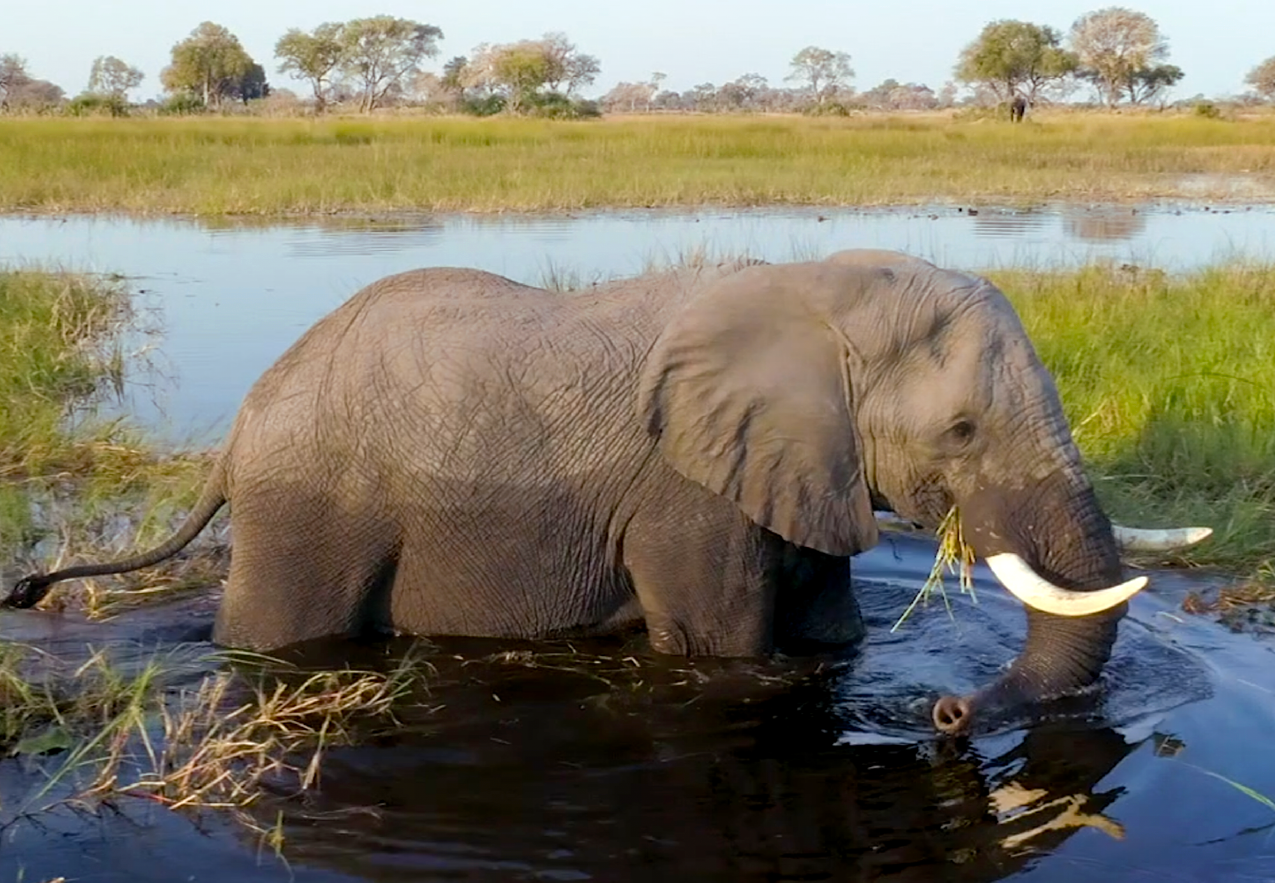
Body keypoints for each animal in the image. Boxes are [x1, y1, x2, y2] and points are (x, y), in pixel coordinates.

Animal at [3, 249, 1210, 734]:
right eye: (961, 432)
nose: (950, 714)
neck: (814, 294)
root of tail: (241, 425)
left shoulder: (795, 467)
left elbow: (832, 633)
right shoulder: (689, 493)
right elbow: (727, 649)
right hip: (309, 508)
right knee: (273, 635)